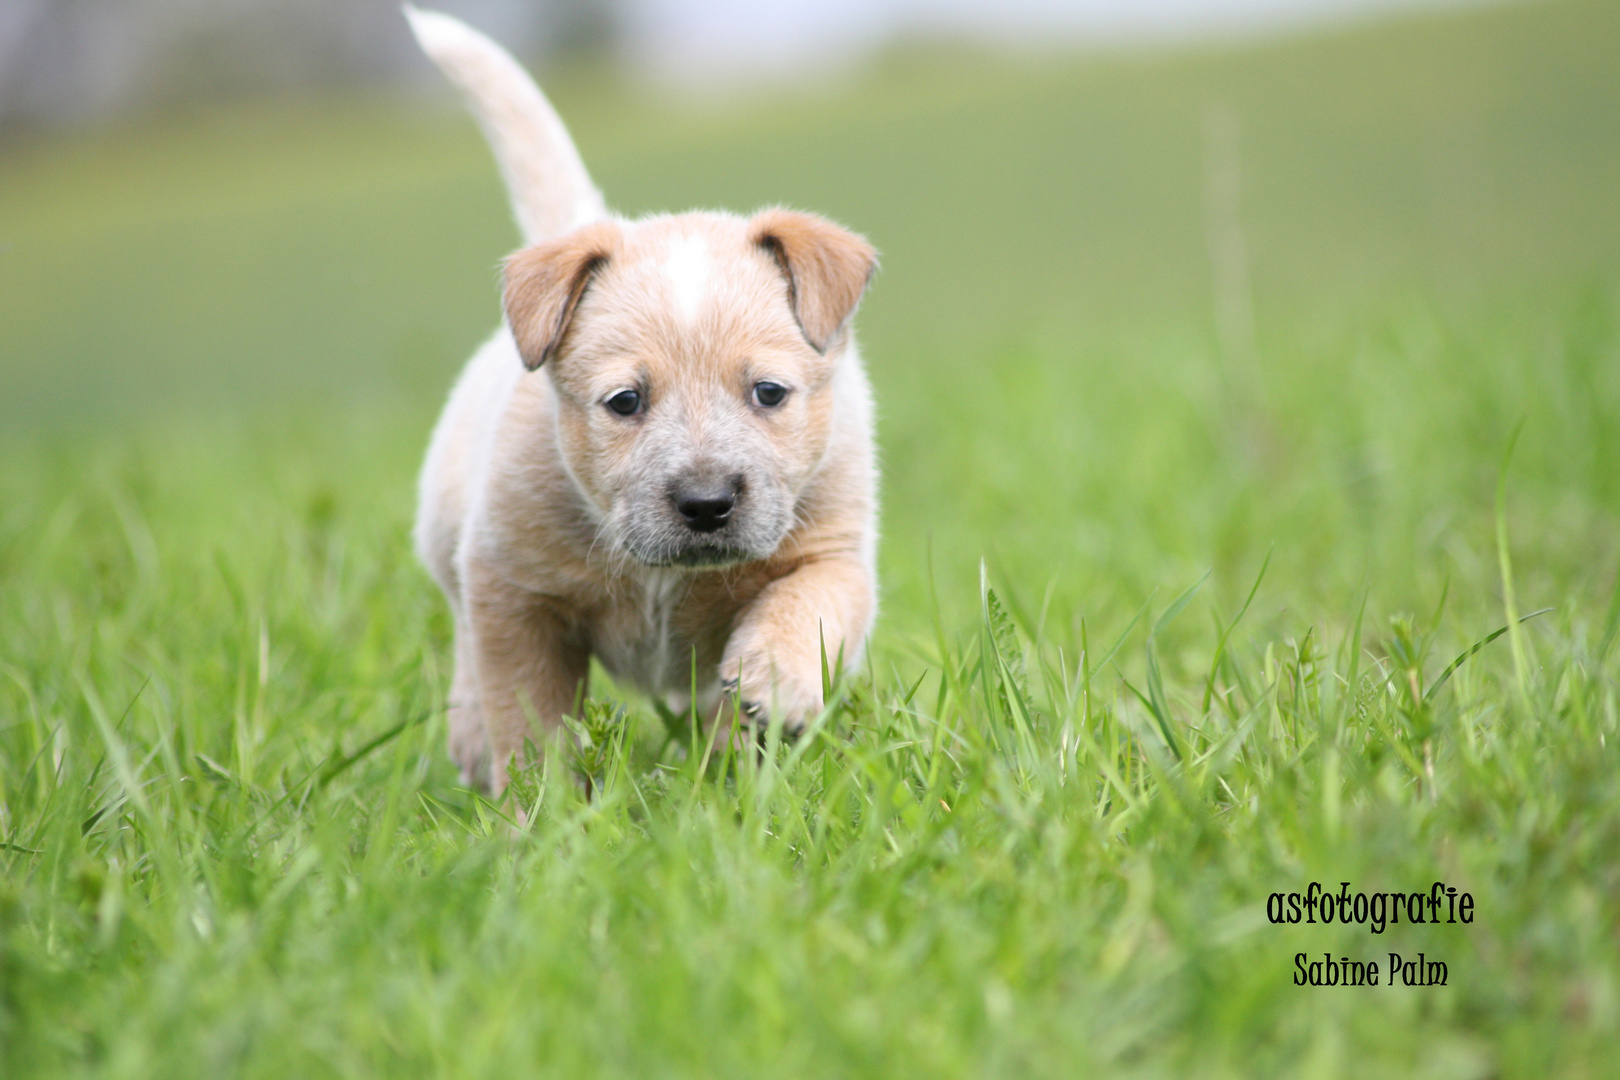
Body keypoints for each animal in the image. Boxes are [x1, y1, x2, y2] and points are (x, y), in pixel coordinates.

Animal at [411, 8, 881, 793]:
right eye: (626, 401)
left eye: (769, 392)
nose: (706, 504)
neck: (663, 578)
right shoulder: (514, 593)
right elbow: (525, 715)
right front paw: (540, 813)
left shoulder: (836, 551)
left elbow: (806, 603)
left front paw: (773, 684)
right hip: (446, 533)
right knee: (463, 637)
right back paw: (470, 733)